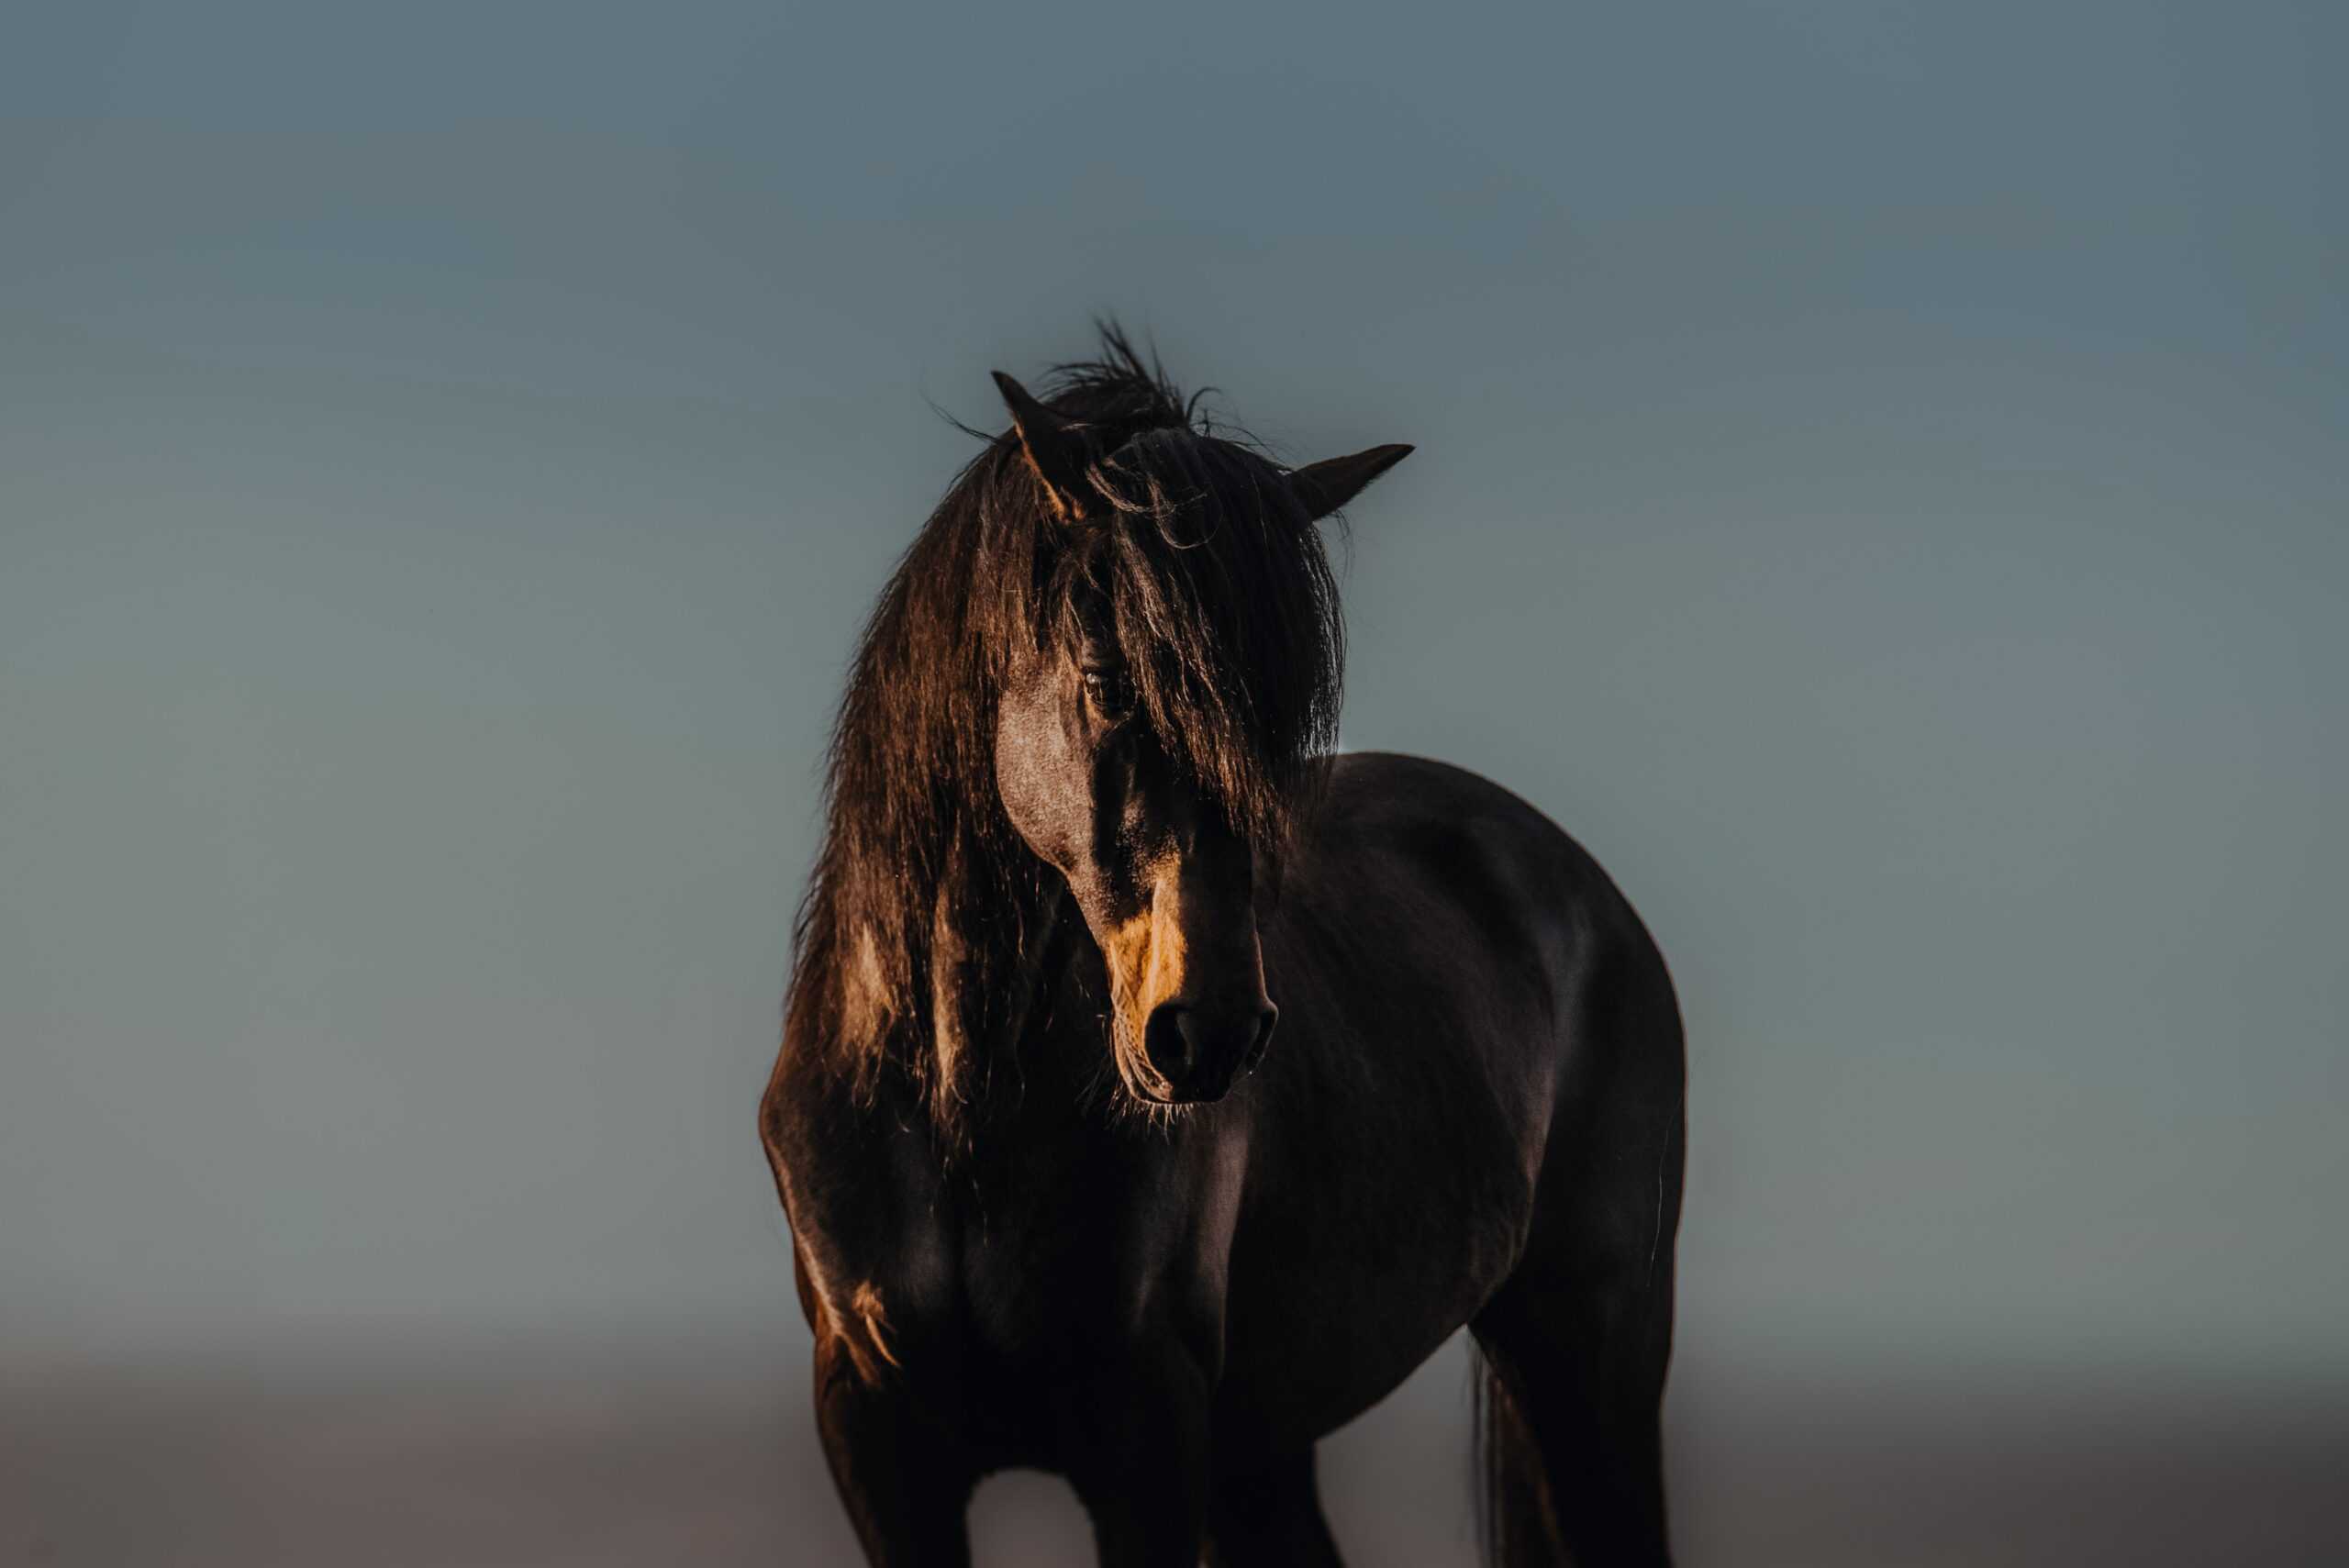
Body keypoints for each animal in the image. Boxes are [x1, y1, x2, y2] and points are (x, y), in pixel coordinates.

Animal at [760, 329, 1685, 1567]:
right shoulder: (878, 1439)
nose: (1209, 1030)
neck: (954, 1109)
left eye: (1278, 717)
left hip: (1591, 1357)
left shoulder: (1147, 1430)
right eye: (1109, 679)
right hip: (1267, 1445)